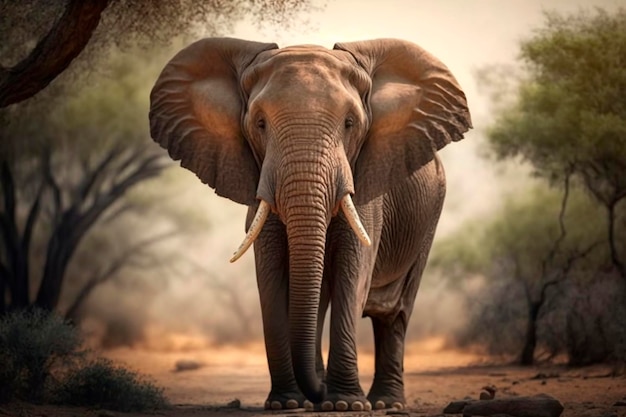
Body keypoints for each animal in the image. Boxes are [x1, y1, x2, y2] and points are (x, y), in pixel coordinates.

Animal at [147, 36, 468, 410]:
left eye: (350, 123)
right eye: (260, 124)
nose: (319, 395)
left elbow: (352, 275)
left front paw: (345, 405)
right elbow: (271, 280)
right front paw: (286, 403)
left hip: (432, 213)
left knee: (395, 312)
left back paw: (384, 403)